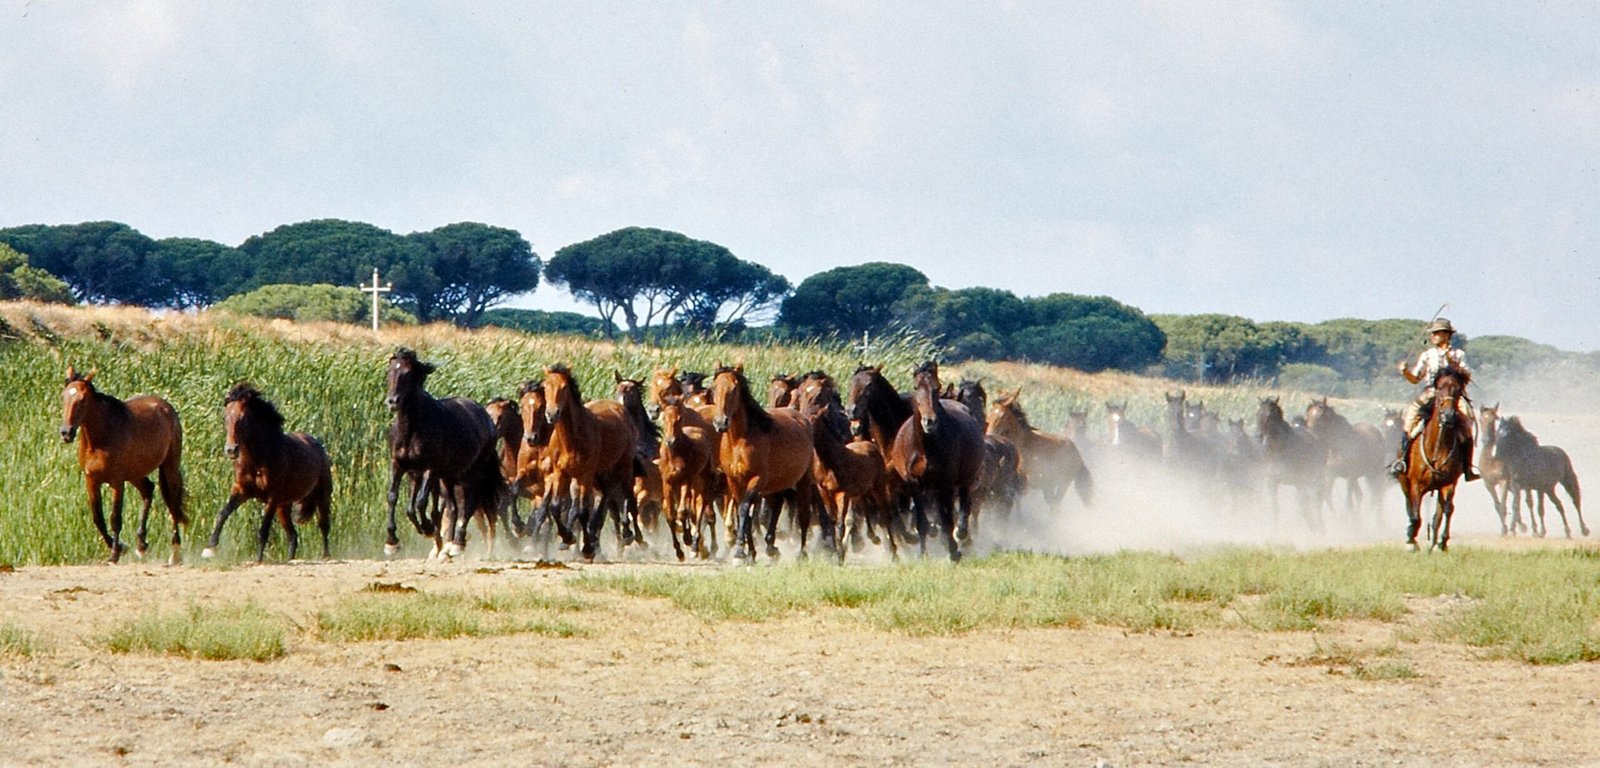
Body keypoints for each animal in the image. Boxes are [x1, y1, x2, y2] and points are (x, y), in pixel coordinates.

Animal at [60, 366, 186, 563]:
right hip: (135, 473)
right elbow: (98, 518)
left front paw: (114, 554)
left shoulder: (117, 482)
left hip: (169, 467)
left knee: (172, 504)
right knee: (148, 490)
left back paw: (175, 554)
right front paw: (121, 547)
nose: (66, 432)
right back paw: (141, 545)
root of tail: (166, 407)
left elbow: (115, 518)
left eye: (83, 399)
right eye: (64, 396)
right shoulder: (91, 480)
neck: (100, 438)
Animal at [204, 384, 332, 563]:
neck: (257, 460)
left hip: (321, 497)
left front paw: (258, 560)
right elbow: (222, 513)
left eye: (243, 419)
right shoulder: (241, 490)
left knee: (324, 526)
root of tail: (319, 446)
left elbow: (263, 530)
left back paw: (326, 556)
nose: (231, 450)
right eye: (225, 418)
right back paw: (290, 560)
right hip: (283, 506)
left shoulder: (272, 497)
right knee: (293, 536)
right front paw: (209, 549)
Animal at [537, 363, 636, 560]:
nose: (551, 414)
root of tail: (619, 407)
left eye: (564, 387)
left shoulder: (585, 475)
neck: (571, 439)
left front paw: (588, 548)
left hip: (623, 466)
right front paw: (567, 538)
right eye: (545, 387)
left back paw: (626, 533)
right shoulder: (560, 473)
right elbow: (556, 507)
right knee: (603, 499)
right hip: (601, 474)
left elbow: (582, 511)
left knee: (626, 495)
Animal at [710, 363, 825, 560]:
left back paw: (801, 553)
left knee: (803, 514)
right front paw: (750, 552)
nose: (720, 423)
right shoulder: (734, 481)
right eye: (714, 388)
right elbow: (744, 514)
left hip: (803, 482)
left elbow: (744, 509)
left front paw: (739, 552)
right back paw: (771, 546)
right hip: (776, 483)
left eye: (734, 389)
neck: (739, 440)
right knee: (776, 507)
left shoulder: (756, 480)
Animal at [1401, 371, 1472, 550]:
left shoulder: (1449, 484)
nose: (1448, 416)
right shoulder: (1416, 484)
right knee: (1409, 506)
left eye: (1458, 389)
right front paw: (1411, 540)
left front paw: (1442, 542)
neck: (1437, 448)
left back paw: (1433, 543)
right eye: (1439, 388)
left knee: (1438, 515)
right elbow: (1415, 515)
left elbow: (1446, 511)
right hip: (1405, 483)